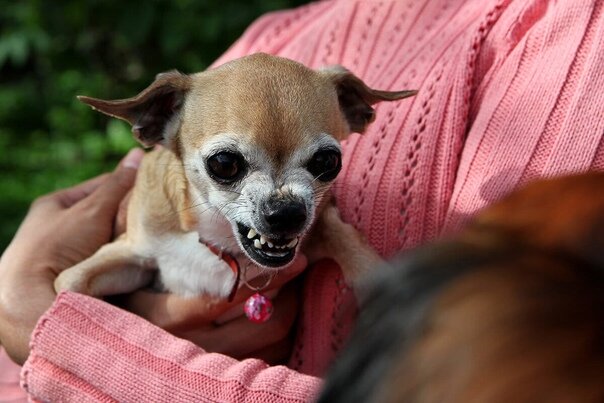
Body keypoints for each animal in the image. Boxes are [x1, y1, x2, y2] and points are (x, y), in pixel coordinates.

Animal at [54, 53, 416, 298]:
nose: (286, 212)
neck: (218, 243)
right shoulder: (133, 250)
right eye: (224, 163)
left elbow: (349, 243)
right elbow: (70, 282)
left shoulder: (323, 219)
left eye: (328, 161)